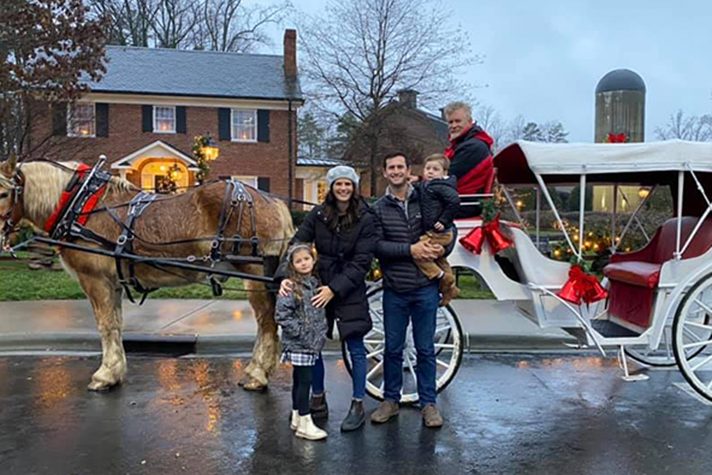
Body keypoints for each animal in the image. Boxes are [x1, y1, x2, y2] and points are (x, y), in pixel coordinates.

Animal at [0, 158, 294, 392]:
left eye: (3, 193)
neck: (79, 203)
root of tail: (273, 201)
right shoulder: (112, 282)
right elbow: (115, 324)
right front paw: (115, 371)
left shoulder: (95, 279)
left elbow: (105, 325)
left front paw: (104, 375)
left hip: (254, 272)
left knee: (266, 322)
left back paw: (257, 374)